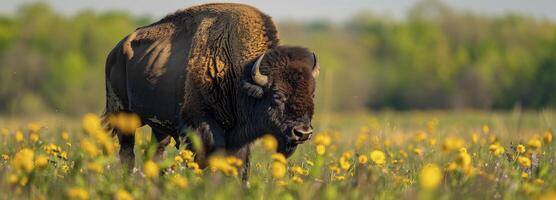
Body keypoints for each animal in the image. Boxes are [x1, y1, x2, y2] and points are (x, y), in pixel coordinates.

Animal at [102, 3, 320, 178]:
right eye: (277, 95)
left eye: (312, 94)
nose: (303, 132)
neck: (239, 74)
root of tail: (115, 52)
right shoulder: (201, 126)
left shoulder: (240, 139)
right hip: (122, 115)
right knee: (127, 153)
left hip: (158, 127)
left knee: (156, 152)